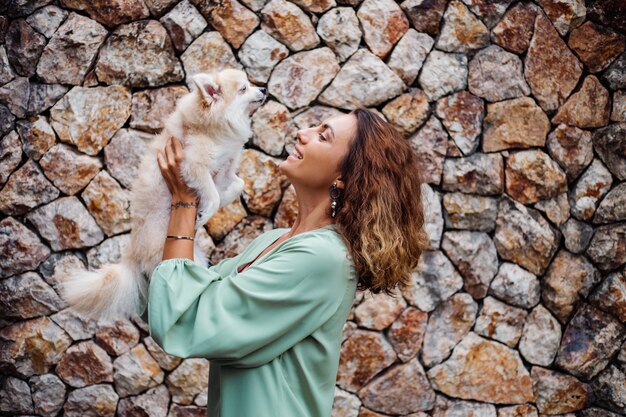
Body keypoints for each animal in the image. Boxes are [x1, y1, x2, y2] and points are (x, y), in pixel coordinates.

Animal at [58, 70, 264, 320]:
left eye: (250, 84)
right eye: (244, 89)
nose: (263, 89)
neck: (217, 128)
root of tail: (133, 252)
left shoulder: (225, 170)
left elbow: (238, 185)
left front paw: (218, 202)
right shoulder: (193, 166)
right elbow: (213, 195)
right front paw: (205, 213)